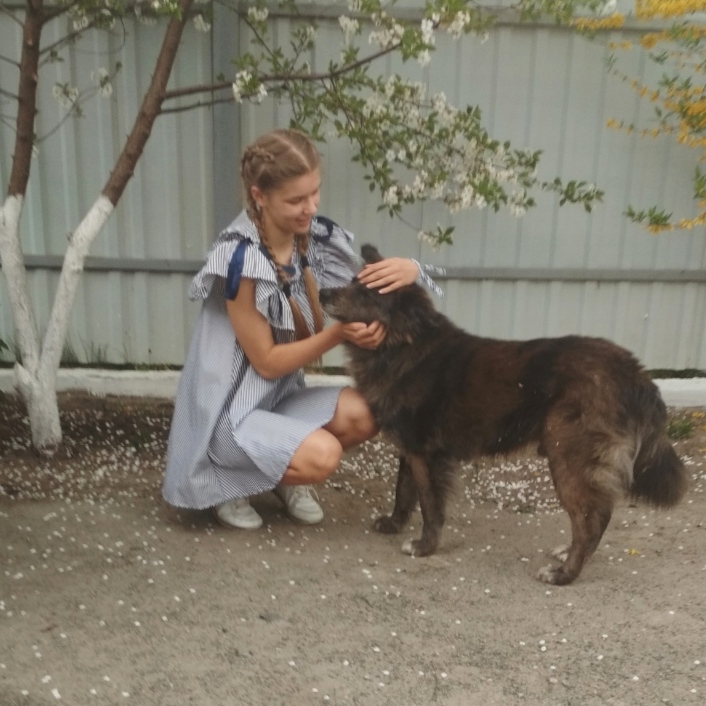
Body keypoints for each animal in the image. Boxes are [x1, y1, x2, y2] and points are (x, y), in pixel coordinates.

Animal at [320, 242, 688, 584]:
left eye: (365, 293)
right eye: (352, 282)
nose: (322, 293)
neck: (403, 346)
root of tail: (634, 372)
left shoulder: (426, 454)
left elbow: (428, 504)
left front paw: (426, 546)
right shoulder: (409, 449)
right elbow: (404, 492)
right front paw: (394, 524)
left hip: (567, 459)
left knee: (591, 518)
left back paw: (565, 573)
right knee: (598, 514)